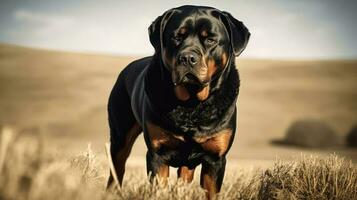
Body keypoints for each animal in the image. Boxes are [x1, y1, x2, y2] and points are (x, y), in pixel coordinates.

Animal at [107, 4, 249, 198]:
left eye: (210, 39)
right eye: (177, 37)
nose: (187, 58)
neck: (191, 105)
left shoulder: (215, 160)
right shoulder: (158, 155)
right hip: (120, 137)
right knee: (116, 170)